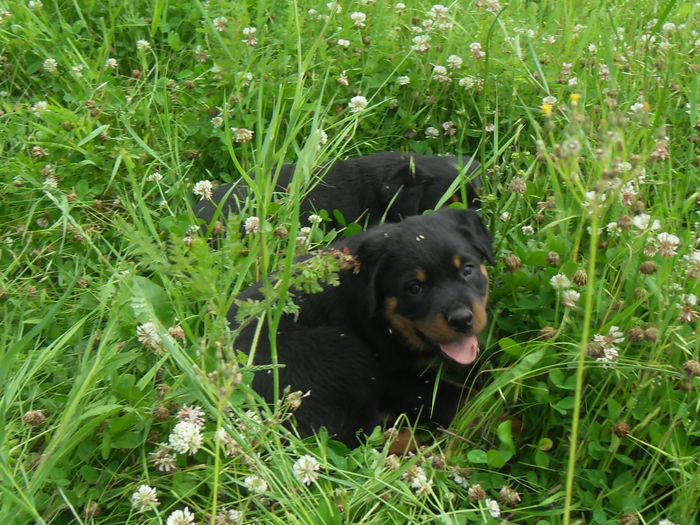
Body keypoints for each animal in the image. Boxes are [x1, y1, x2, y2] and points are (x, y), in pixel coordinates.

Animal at [230, 207, 492, 444]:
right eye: (414, 288)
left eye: (467, 269)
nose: (462, 319)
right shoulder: (397, 379)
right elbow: (462, 400)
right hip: (338, 353)